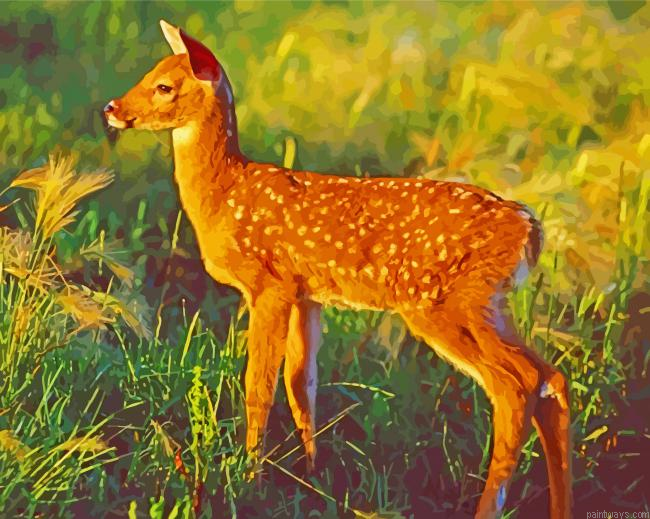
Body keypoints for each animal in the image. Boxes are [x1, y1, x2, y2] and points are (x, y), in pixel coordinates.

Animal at [104, 20, 572, 519]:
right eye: (150, 73)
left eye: (164, 86)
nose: (112, 108)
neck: (226, 193)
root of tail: (529, 227)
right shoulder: (306, 294)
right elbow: (302, 385)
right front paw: (312, 477)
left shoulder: (269, 285)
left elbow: (258, 385)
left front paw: (249, 480)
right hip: (489, 304)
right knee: (550, 377)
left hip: (442, 303)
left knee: (517, 384)